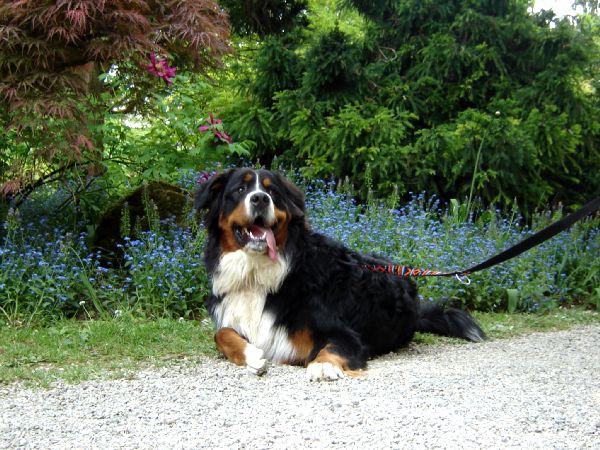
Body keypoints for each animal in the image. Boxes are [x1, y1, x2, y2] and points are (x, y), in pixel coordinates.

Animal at [195, 168, 486, 380]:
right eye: (240, 189)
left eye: (272, 191)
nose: (260, 199)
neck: (258, 277)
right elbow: (221, 334)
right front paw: (252, 354)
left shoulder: (345, 335)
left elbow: (330, 348)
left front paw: (323, 366)